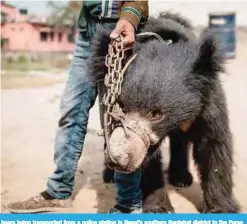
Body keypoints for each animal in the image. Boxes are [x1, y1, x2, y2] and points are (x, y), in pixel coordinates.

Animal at [89, 12, 240, 214]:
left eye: (157, 115)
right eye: (121, 108)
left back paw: (181, 178)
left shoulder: (208, 104)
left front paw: (220, 208)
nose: (119, 160)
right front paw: (159, 207)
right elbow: (148, 161)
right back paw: (110, 176)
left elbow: (214, 146)